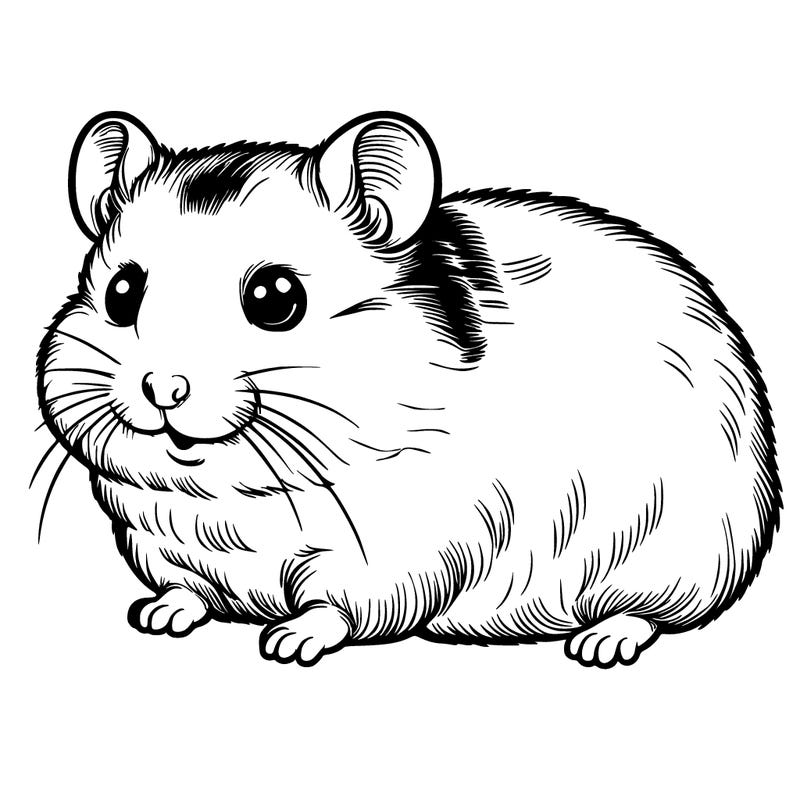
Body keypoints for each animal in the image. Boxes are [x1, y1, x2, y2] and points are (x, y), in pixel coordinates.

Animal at [36, 110, 781, 668]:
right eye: (121, 292)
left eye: (276, 298)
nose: (162, 388)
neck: (240, 495)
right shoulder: (162, 543)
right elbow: (187, 590)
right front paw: (154, 616)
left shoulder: (392, 556)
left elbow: (337, 607)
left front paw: (287, 642)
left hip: (684, 557)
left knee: (656, 613)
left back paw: (601, 642)